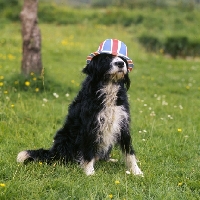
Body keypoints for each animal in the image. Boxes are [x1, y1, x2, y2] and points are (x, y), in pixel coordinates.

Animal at [16, 39, 143, 177]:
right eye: (106, 57)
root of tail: (53, 152)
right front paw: (89, 172)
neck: (109, 86)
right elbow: (88, 151)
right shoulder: (90, 126)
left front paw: (136, 171)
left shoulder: (122, 123)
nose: (120, 63)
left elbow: (129, 152)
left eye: (122, 58)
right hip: (64, 137)